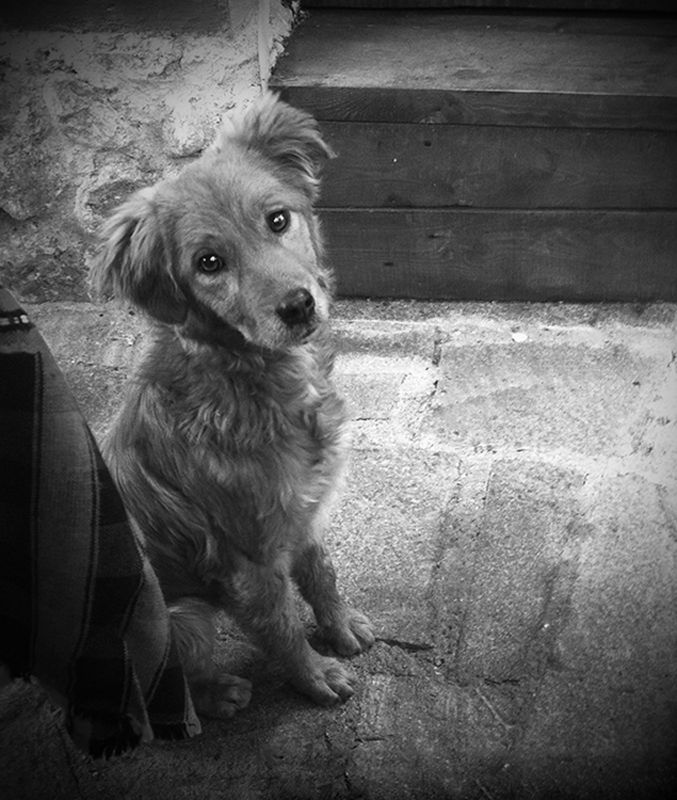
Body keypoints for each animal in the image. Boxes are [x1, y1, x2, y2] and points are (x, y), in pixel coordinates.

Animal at [92, 92, 375, 718]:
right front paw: (314, 676)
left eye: (278, 220)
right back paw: (220, 693)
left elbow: (322, 574)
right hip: (186, 620)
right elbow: (282, 627)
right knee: (165, 688)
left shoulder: (302, 513)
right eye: (209, 263)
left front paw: (340, 627)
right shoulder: (249, 562)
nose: (298, 306)